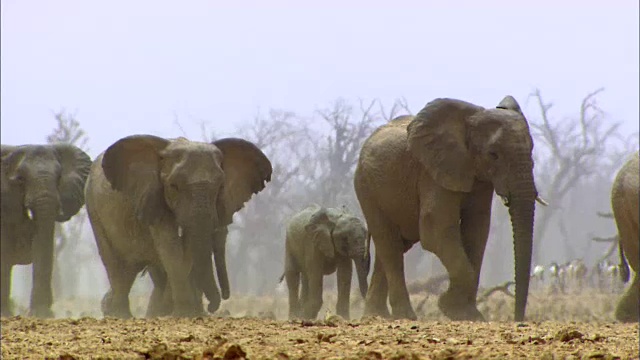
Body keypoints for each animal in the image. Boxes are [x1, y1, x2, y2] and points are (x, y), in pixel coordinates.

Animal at [85, 135, 272, 318]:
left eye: (220, 186)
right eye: (173, 186)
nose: (211, 307)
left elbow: (185, 248)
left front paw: (186, 313)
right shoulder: (155, 196)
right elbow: (171, 246)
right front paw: (184, 314)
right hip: (93, 207)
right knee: (116, 264)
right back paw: (120, 315)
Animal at [356, 95, 544, 320]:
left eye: (532, 150)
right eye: (493, 154)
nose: (518, 321)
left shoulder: (478, 177)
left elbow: (477, 230)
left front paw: (469, 314)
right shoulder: (433, 170)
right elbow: (436, 229)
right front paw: (451, 308)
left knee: (395, 246)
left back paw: (377, 315)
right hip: (366, 187)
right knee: (389, 244)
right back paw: (404, 316)